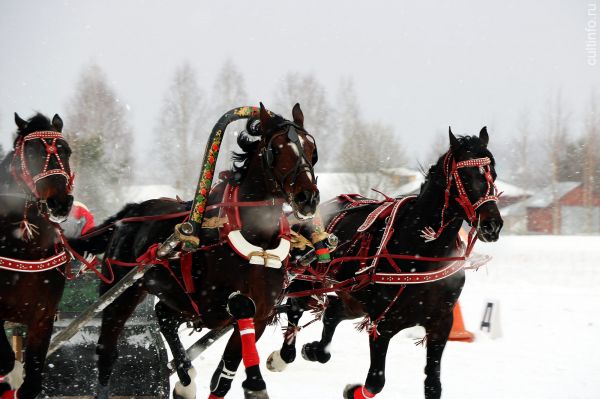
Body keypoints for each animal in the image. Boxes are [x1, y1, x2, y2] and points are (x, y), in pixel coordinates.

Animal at [0, 112, 74, 399]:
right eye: (30, 153)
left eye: (66, 151)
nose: (60, 203)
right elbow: (7, 363)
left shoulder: (43, 316)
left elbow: (31, 381)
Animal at [71, 104, 322, 399]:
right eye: (277, 148)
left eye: (311, 148)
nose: (308, 197)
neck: (257, 240)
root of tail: (129, 214)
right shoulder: (213, 301)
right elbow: (241, 305)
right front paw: (255, 382)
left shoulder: (260, 312)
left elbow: (224, 377)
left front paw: (247, 379)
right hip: (122, 292)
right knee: (107, 350)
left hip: (179, 299)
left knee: (164, 315)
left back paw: (185, 378)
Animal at [268, 129, 502, 399]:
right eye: (465, 175)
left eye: (493, 174)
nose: (492, 225)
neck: (422, 251)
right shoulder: (383, 324)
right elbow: (375, 382)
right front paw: (352, 390)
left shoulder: (440, 324)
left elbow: (433, 386)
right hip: (308, 282)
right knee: (295, 310)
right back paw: (284, 355)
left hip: (352, 299)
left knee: (331, 315)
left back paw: (315, 350)